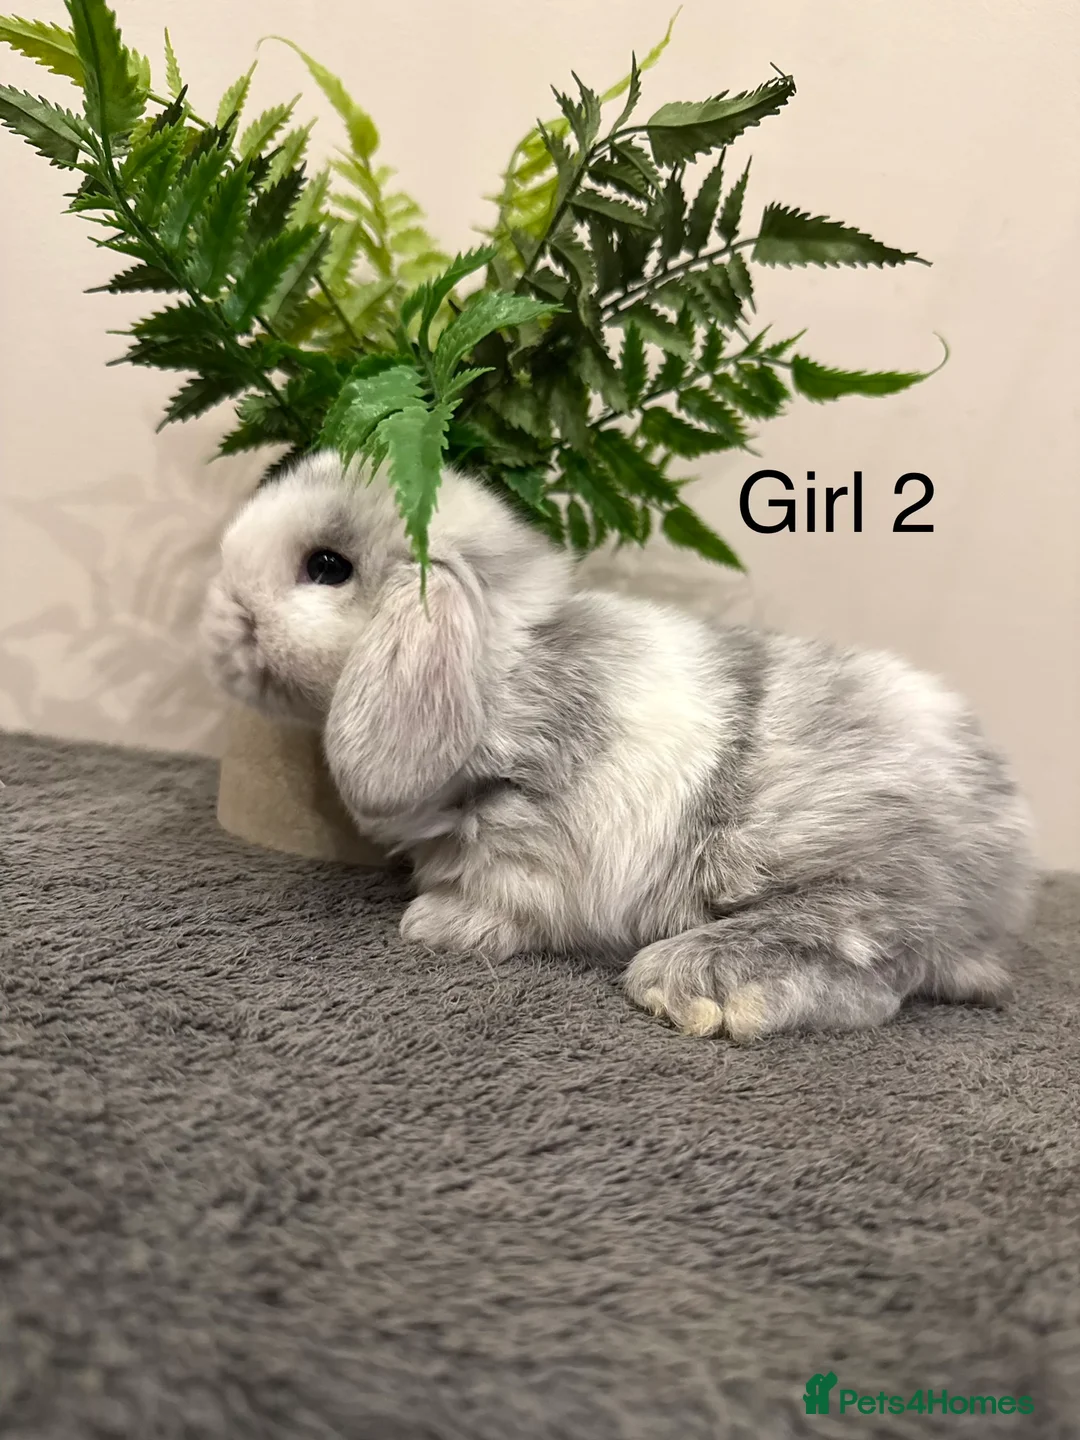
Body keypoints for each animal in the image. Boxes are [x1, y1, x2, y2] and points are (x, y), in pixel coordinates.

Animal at [200, 450, 1036, 1040]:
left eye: (327, 566)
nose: (220, 617)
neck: (504, 668)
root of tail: (1006, 863)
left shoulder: (535, 833)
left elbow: (507, 896)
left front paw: (437, 924)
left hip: (841, 869)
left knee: (873, 960)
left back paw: (691, 988)